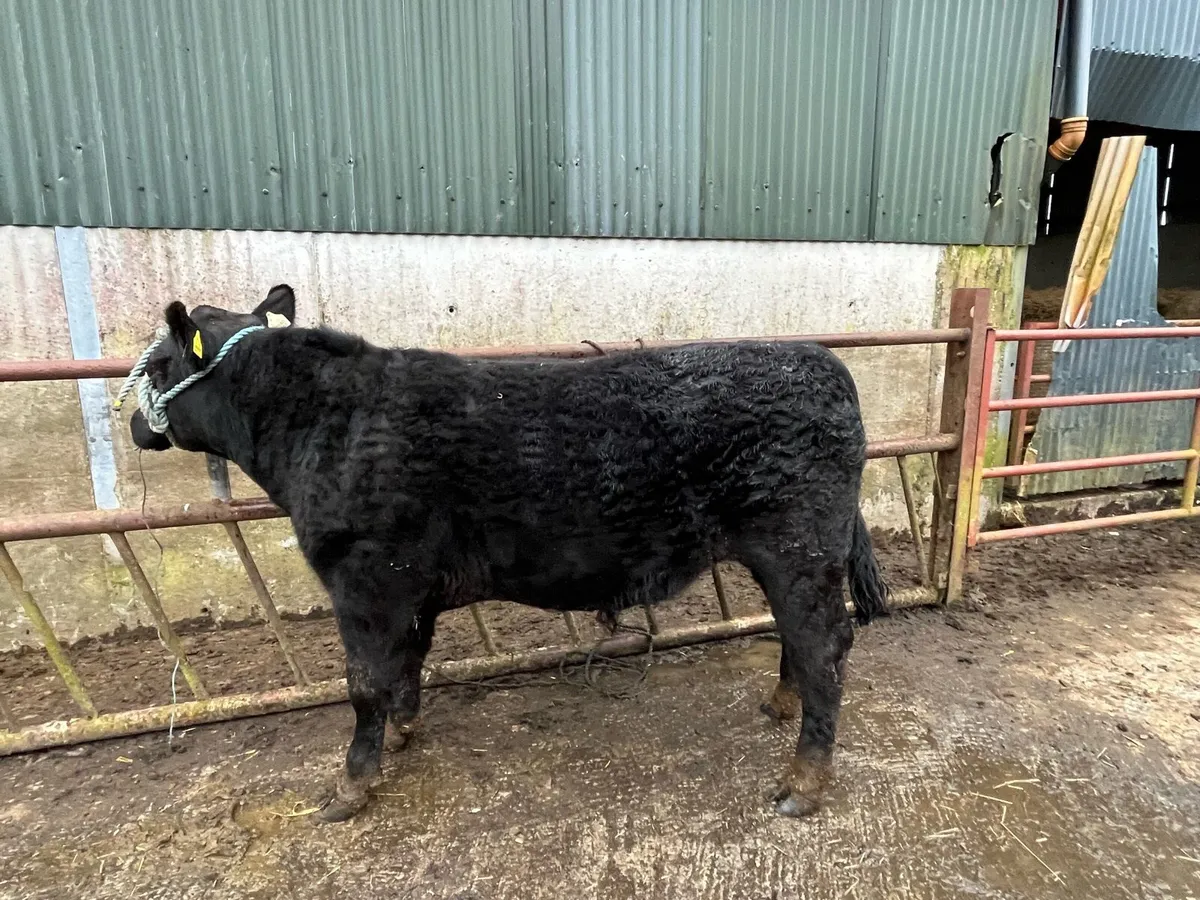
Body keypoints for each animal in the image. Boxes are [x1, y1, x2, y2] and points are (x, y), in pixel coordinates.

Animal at [122, 285, 887, 822]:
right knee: (800, 638)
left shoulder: (364, 579)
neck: (325, 423)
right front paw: (401, 734)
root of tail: (819, 358)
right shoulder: (408, 589)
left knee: (824, 644)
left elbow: (364, 682)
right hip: (790, 555)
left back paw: (801, 783)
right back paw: (780, 705)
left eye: (157, 364)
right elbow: (406, 665)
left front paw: (349, 788)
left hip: (798, 545)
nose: (132, 422)